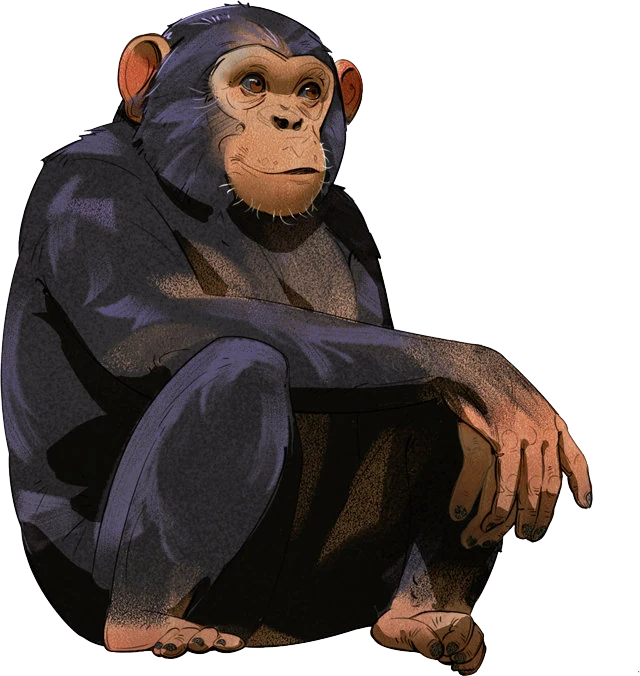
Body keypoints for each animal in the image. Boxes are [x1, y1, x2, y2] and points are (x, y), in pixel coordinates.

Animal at [0, 5, 591, 671]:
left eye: (309, 92)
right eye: (254, 85)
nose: (290, 119)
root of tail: (270, 637)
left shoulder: (349, 221)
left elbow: (389, 363)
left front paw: (488, 396)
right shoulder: (87, 189)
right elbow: (151, 320)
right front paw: (488, 373)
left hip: (329, 593)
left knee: (441, 410)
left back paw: (422, 615)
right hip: (94, 585)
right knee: (242, 365)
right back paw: (150, 623)